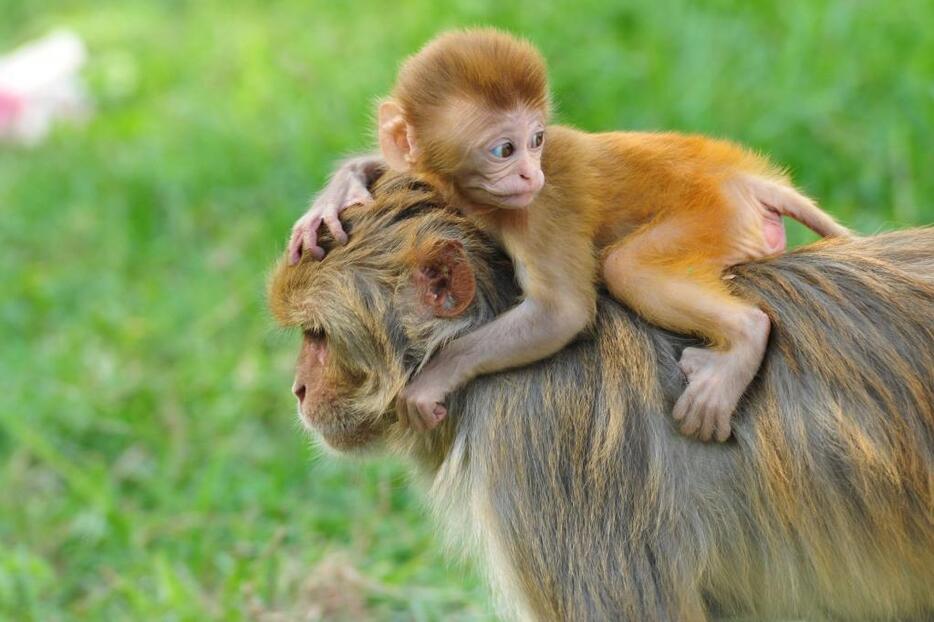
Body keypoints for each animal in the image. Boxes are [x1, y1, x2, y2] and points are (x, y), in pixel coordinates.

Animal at [288, 29, 852, 444]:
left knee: (629, 268)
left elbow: (560, 313)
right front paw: (338, 194)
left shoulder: (539, 212)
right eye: (503, 150)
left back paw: (744, 339)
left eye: (536, 140)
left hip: (716, 216)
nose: (529, 174)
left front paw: (433, 379)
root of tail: (742, 174)